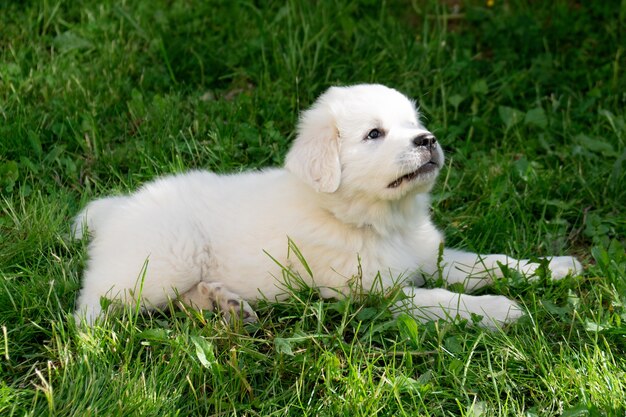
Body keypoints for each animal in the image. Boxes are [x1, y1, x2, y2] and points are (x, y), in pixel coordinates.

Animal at [74, 83, 580, 324]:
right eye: (374, 134)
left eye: (412, 122)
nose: (428, 140)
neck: (380, 220)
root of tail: (119, 209)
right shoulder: (373, 294)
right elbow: (442, 299)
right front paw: (501, 310)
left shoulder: (430, 257)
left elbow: (488, 262)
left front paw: (555, 267)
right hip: (160, 264)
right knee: (96, 300)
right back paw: (91, 341)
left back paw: (226, 306)